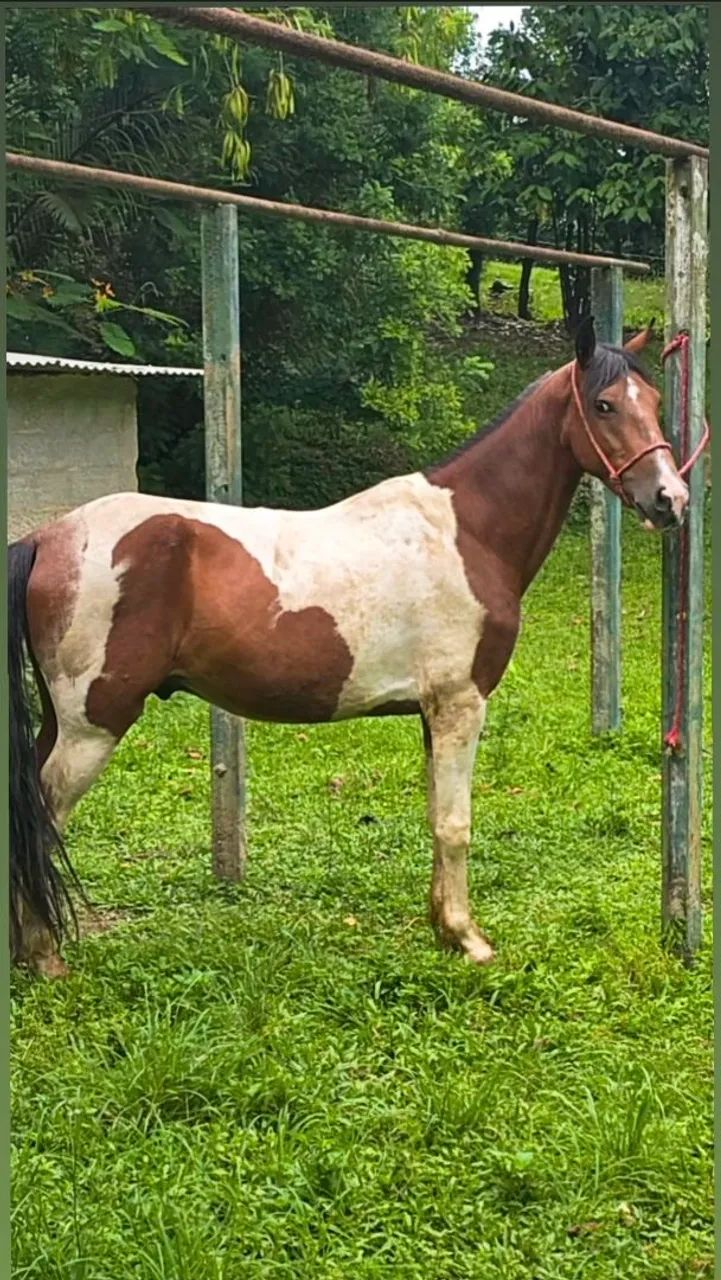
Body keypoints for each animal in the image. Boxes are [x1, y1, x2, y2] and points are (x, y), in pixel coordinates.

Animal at [9, 316, 689, 977]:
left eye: (656, 401)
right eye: (604, 405)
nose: (670, 500)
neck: (468, 531)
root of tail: (48, 537)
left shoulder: (431, 713)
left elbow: (434, 817)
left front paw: (443, 930)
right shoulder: (460, 704)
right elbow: (455, 823)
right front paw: (470, 940)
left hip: (63, 723)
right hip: (92, 725)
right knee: (44, 819)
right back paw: (45, 958)